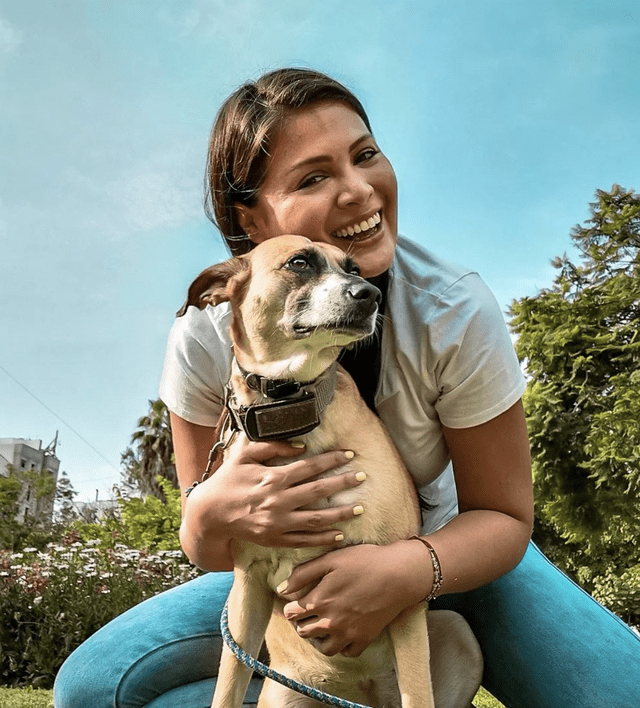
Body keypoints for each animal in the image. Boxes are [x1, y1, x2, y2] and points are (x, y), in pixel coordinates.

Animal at [178, 236, 482, 708]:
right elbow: (226, 689)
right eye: (299, 262)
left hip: (457, 632)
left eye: (354, 268)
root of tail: (362, 695)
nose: (370, 295)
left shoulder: (402, 594)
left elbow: (418, 693)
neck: (292, 410)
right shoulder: (247, 590)